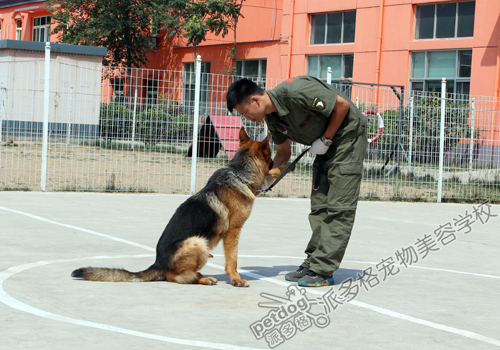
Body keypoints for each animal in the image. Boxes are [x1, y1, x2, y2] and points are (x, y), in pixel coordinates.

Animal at [72, 128, 288, 288]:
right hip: (198, 242)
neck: (240, 174)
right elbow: (232, 259)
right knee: (175, 277)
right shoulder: (234, 231)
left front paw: (284, 165)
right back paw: (203, 279)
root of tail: (158, 263)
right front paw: (236, 279)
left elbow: (273, 173)